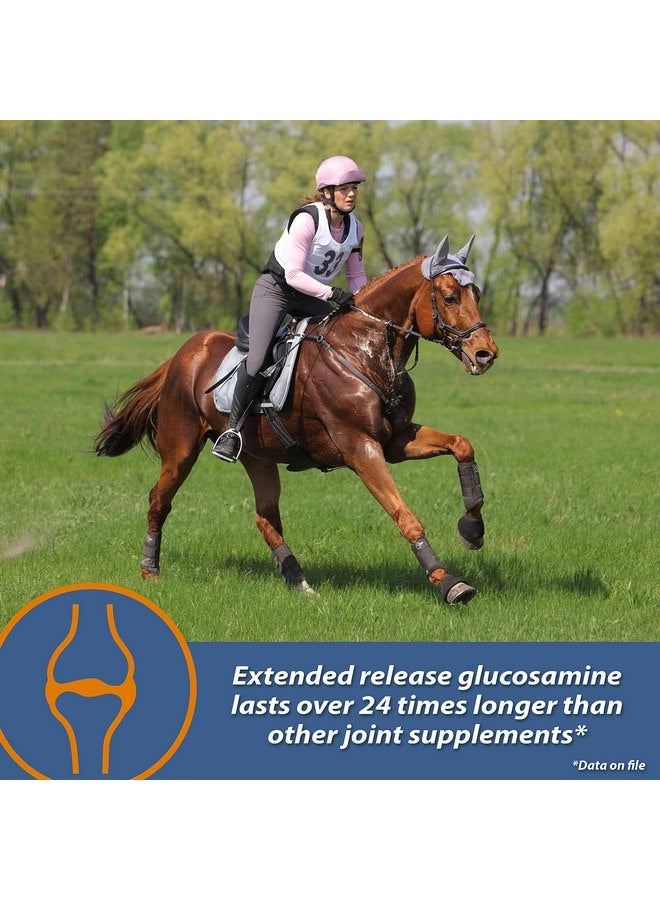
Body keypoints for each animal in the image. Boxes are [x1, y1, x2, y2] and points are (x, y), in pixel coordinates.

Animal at [94, 234, 499, 605]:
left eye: (476, 293)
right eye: (450, 297)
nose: (486, 354)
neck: (366, 352)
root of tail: (187, 350)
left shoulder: (396, 440)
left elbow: (462, 445)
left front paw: (472, 530)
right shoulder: (360, 447)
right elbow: (405, 516)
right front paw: (449, 583)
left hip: (257, 456)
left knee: (265, 518)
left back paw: (299, 581)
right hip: (181, 448)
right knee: (159, 500)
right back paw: (150, 569)